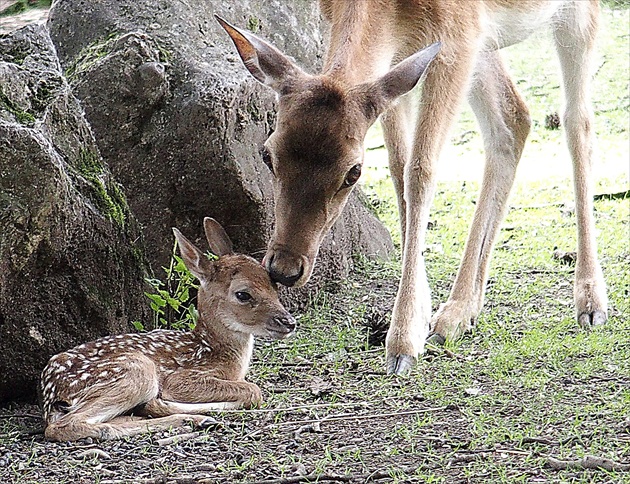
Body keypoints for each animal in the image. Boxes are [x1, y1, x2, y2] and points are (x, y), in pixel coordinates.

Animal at [40, 219, 298, 442]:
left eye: (273, 285)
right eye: (243, 294)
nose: (288, 322)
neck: (212, 348)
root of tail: (51, 395)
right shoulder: (183, 377)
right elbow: (253, 390)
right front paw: (163, 403)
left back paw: (192, 420)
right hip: (135, 370)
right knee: (64, 425)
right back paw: (190, 417)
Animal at [216, 0, 608, 374]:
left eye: (353, 172)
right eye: (267, 154)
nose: (283, 269)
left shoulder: (455, 44)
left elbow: (420, 171)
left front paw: (402, 343)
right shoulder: (401, 57)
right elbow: (398, 165)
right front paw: (420, 315)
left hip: (569, 19)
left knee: (578, 121)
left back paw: (591, 302)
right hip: (486, 46)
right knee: (514, 119)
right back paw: (459, 312)